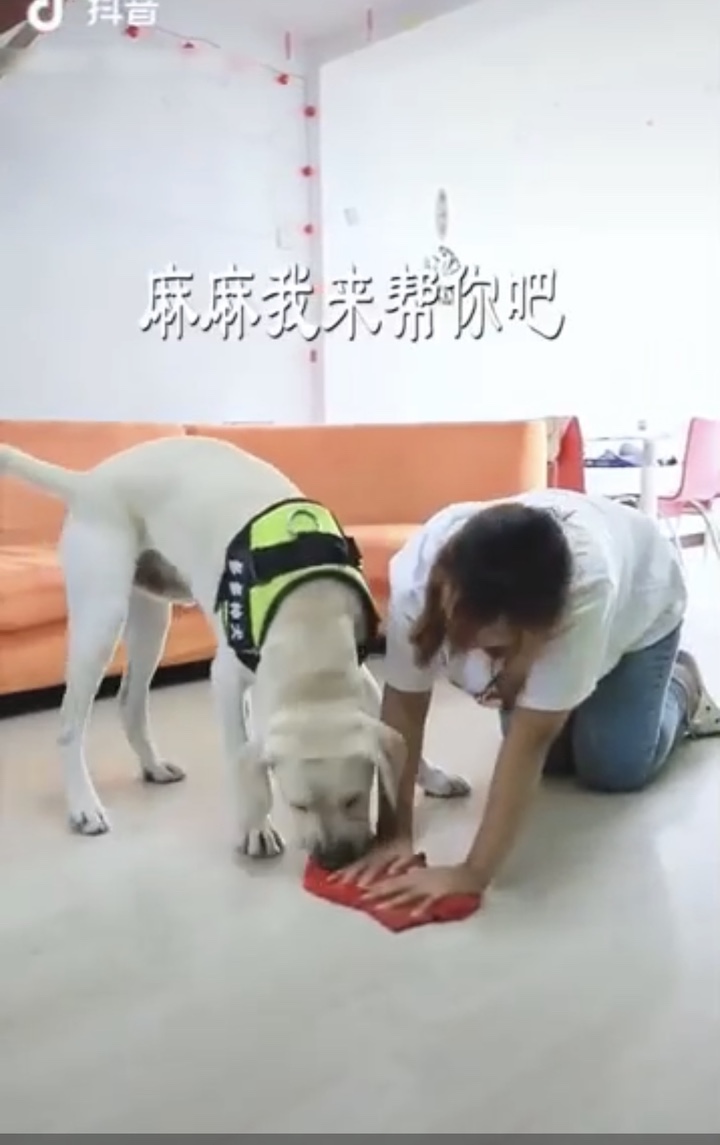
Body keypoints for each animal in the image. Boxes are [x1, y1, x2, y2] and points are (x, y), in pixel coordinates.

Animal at [1, 435, 465, 867]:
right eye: (297, 805)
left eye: (354, 798)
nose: (333, 858)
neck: (307, 617)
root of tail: (87, 481)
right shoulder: (225, 680)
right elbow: (240, 756)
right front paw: (255, 827)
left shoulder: (356, 675)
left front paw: (433, 777)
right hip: (101, 615)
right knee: (69, 724)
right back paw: (84, 806)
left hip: (151, 619)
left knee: (129, 702)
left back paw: (153, 766)